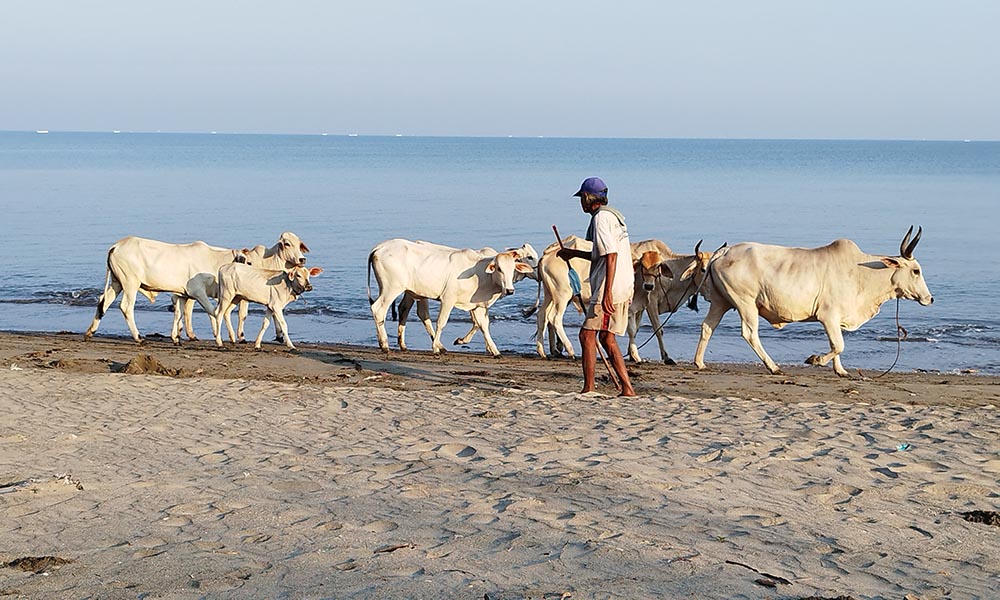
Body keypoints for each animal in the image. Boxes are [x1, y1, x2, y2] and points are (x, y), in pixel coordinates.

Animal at [87, 232, 308, 342]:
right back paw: (138, 337)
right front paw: (226, 337)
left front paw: (178, 337)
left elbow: (182, 313)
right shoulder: (198, 292)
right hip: (130, 283)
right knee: (126, 307)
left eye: (299, 244)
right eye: (287, 244)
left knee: (103, 302)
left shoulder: (184, 294)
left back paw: (90, 332)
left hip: (117, 282)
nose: (302, 259)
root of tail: (116, 245)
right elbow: (215, 312)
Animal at [368, 239, 536, 358]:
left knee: (409, 311)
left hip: (411, 291)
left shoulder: (478, 305)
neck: (481, 274)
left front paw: (495, 351)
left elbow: (483, 325)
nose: (510, 290)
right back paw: (385, 345)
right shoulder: (448, 299)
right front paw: (435, 348)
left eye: (512, 268)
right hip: (391, 289)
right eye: (499, 269)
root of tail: (380, 247)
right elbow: (441, 322)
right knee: (378, 310)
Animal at [692, 225, 932, 376]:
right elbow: (839, 344)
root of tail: (724, 251)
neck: (862, 273)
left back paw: (700, 363)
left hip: (721, 301)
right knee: (750, 334)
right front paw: (815, 360)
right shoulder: (828, 315)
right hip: (745, 303)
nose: (929, 298)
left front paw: (840, 371)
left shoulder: (835, 319)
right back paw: (774, 367)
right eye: (916, 271)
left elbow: (836, 344)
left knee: (707, 327)